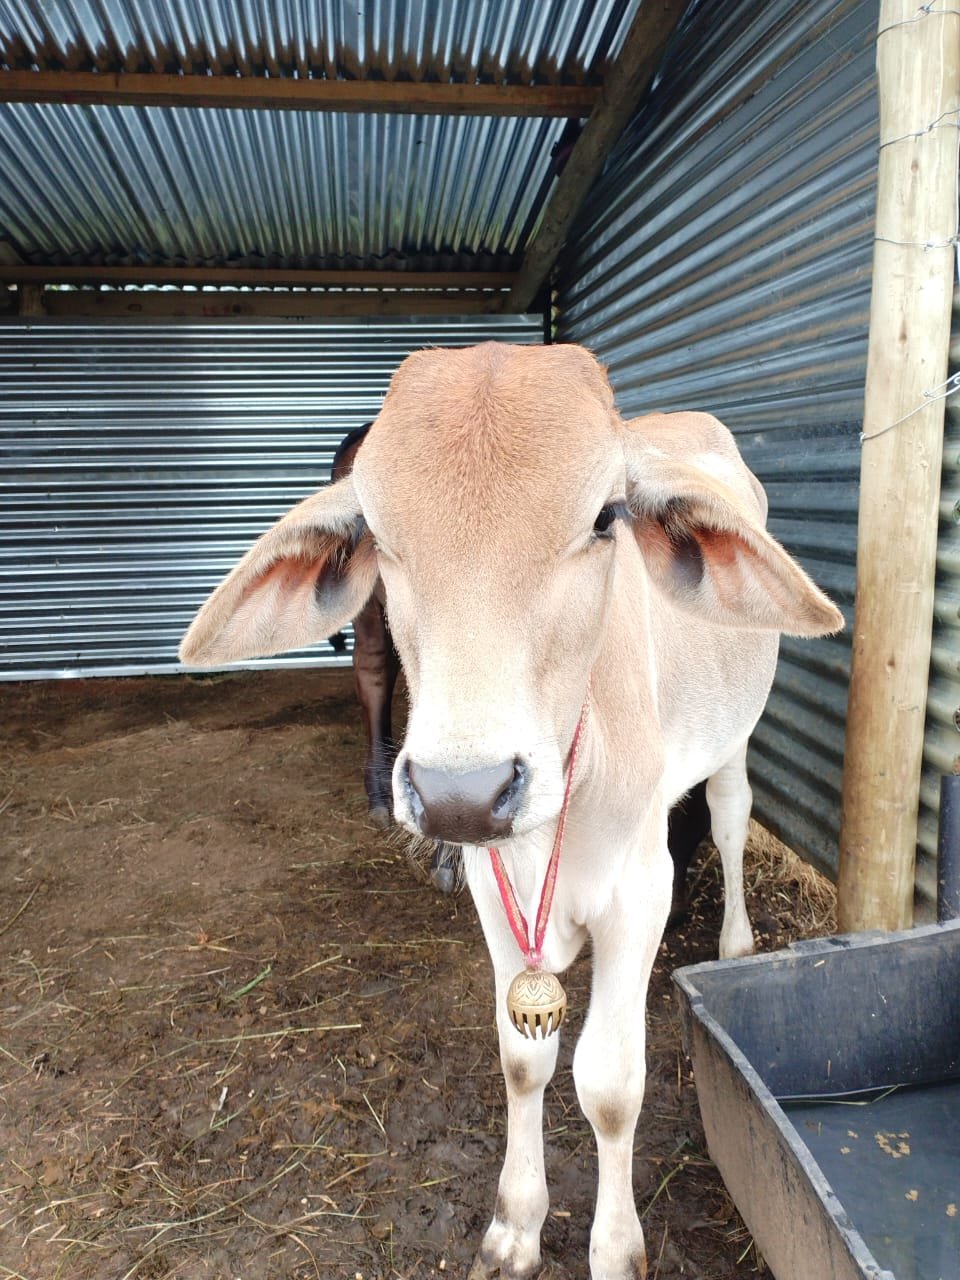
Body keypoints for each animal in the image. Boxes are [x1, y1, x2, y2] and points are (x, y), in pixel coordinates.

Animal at [179, 343, 842, 1280]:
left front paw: (615, 1249)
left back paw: (736, 940)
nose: (462, 792)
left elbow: (609, 1084)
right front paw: (516, 1226)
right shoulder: (495, 896)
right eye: (378, 533)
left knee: (728, 812)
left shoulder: (637, 896)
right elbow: (524, 1059)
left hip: (737, 737)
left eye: (605, 517)